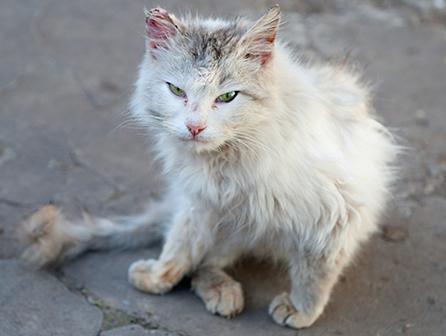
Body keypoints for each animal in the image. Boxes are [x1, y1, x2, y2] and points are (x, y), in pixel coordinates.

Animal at [20, 5, 398, 330]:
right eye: (176, 90)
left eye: (228, 97)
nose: (194, 127)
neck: (226, 159)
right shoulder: (198, 201)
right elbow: (179, 244)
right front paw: (159, 276)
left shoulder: (335, 214)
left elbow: (315, 273)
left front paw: (301, 310)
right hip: (228, 223)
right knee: (202, 262)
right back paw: (222, 293)